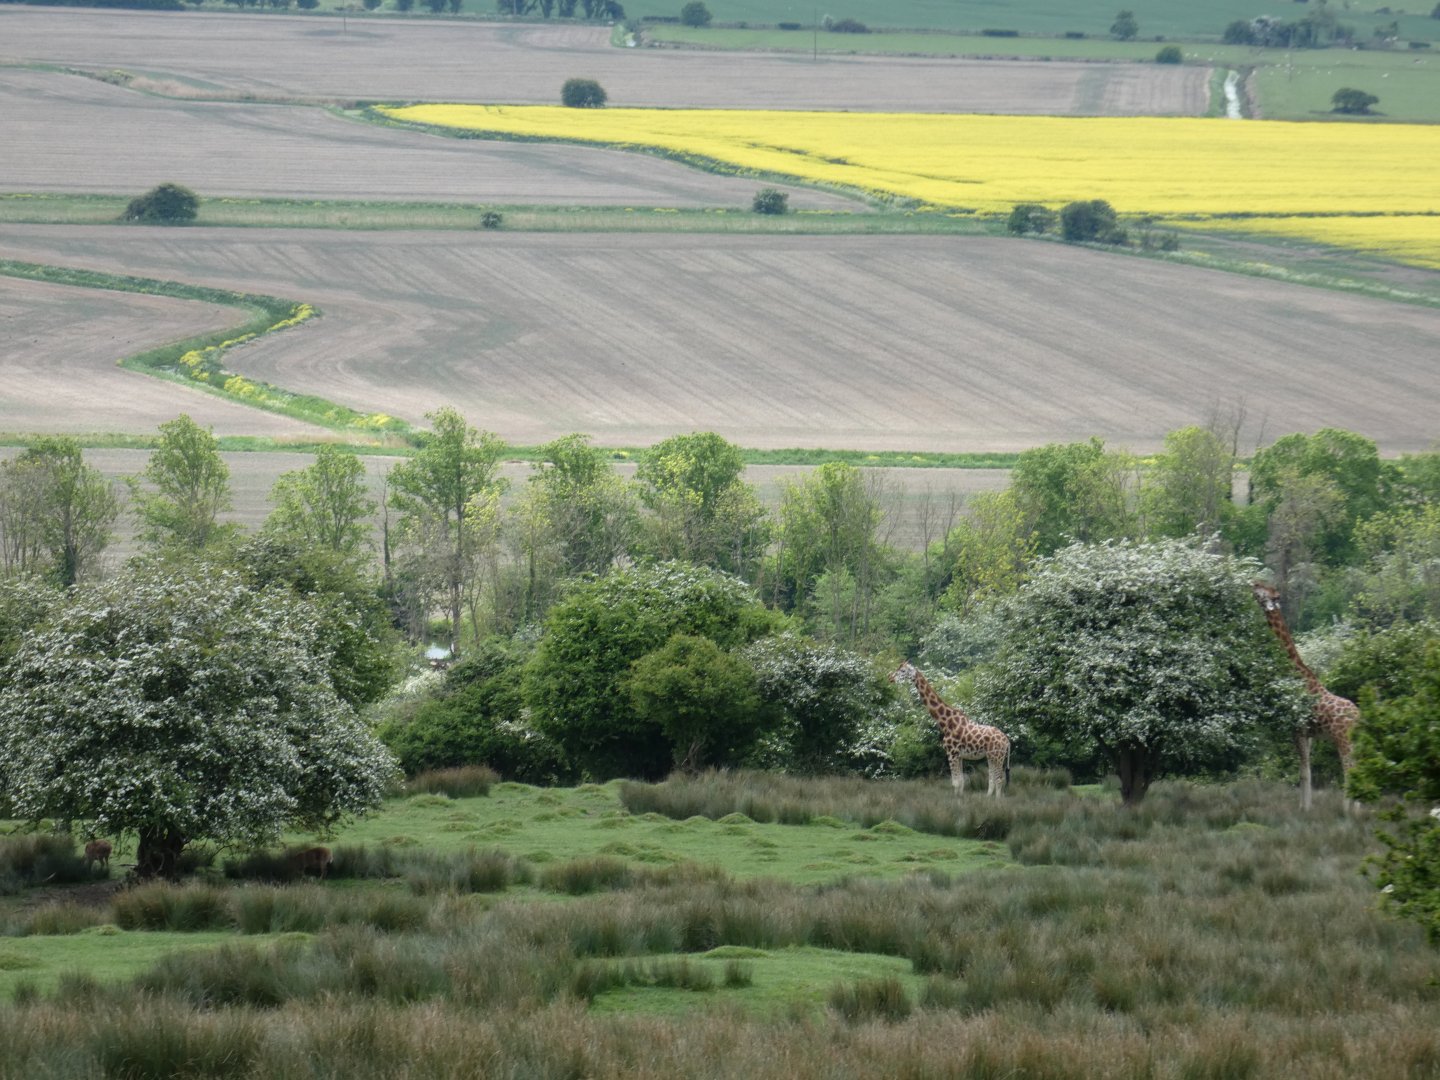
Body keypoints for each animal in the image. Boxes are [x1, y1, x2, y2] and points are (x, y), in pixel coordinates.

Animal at [893, 661, 1011, 797]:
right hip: (991, 756)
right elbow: (961, 781)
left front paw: (956, 800)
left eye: (902, 671)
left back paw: (997, 801)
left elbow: (956, 782)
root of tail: (1007, 740)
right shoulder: (959, 755)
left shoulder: (951, 752)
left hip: (997, 755)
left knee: (999, 778)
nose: (890, 678)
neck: (946, 722)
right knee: (992, 777)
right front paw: (960, 797)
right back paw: (987, 798)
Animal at [1251, 581, 1359, 811]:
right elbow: (1306, 769)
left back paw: (1348, 811)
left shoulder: (1297, 729)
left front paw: (1305, 809)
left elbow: (1304, 772)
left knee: (1349, 770)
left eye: (1267, 590)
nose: (1253, 583)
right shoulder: (1309, 734)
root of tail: (1358, 716)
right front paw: (1304, 806)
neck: (1296, 672)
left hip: (1342, 738)